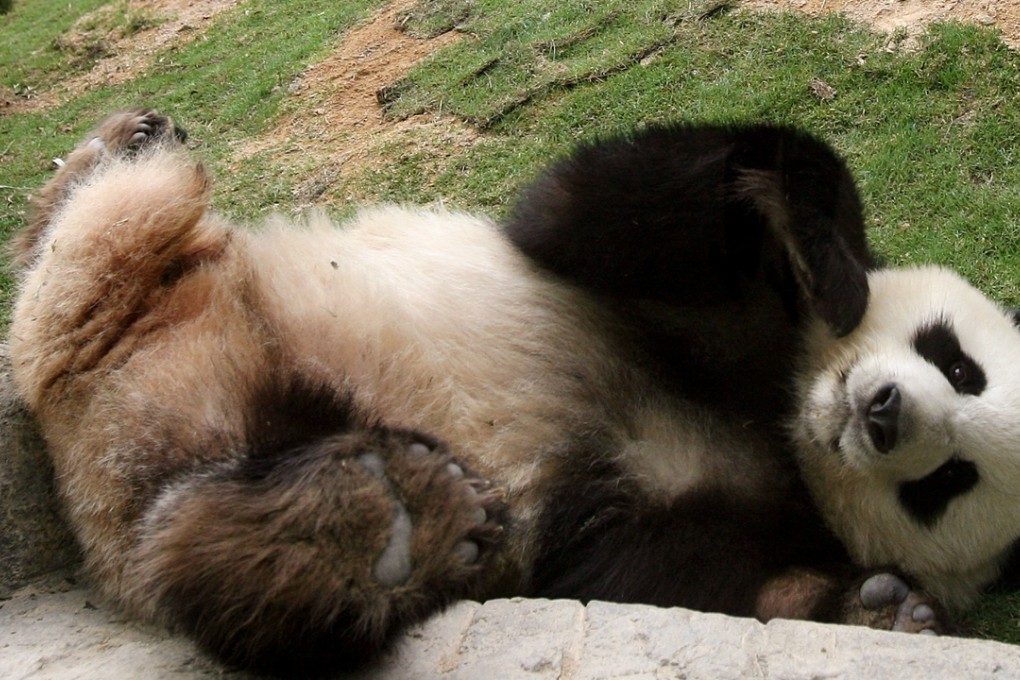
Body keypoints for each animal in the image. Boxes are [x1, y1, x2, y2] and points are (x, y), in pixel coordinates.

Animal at [10, 109, 1013, 677]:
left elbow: (627, 579)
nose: (883, 415)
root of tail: (98, 473)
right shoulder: (666, 295)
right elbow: (595, 208)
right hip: (147, 298)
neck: (774, 419)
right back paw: (118, 148)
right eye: (958, 361)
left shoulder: (689, 517)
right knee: (108, 233)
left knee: (214, 565)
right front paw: (822, 258)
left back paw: (375, 525)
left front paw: (883, 609)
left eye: (948, 481)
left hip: (219, 449)